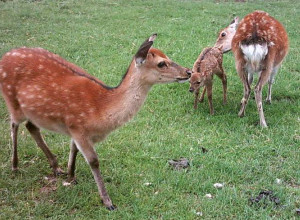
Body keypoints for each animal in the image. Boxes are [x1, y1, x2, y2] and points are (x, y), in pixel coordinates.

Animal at [0, 34, 191, 210]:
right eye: (161, 63)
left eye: (168, 56)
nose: (188, 72)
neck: (100, 111)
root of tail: (5, 56)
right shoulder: (77, 126)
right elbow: (93, 160)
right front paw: (108, 202)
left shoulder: (75, 129)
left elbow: (73, 149)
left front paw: (70, 176)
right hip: (12, 100)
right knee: (14, 125)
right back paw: (15, 166)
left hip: (33, 112)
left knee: (31, 126)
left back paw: (56, 167)